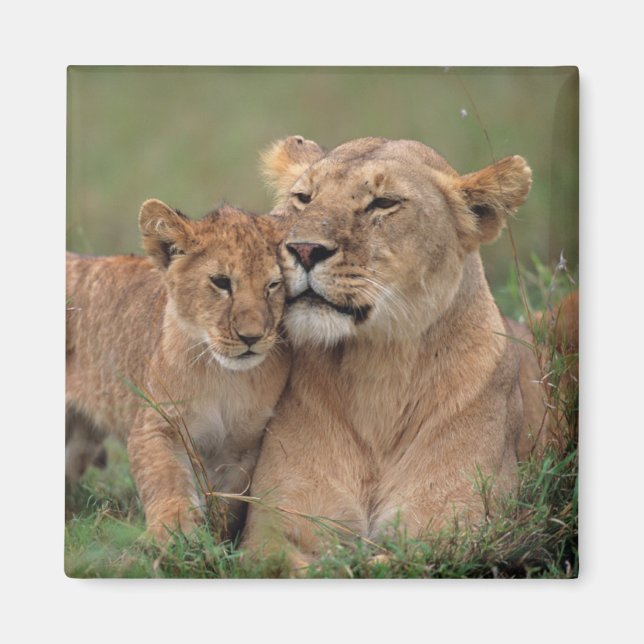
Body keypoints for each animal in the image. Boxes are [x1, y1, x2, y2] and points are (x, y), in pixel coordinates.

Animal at [66, 199, 291, 542]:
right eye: (221, 282)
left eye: (273, 285)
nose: (251, 337)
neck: (224, 376)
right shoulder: (157, 424)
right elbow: (166, 479)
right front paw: (175, 533)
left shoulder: (243, 447)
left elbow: (228, 500)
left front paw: (216, 537)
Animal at [242, 135, 543, 566]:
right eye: (303, 198)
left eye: (383, 203)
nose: (303, 249)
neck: (378, 369)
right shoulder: (274, 528)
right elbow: (297, 564)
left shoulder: (460, 529)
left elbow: (383, 564)